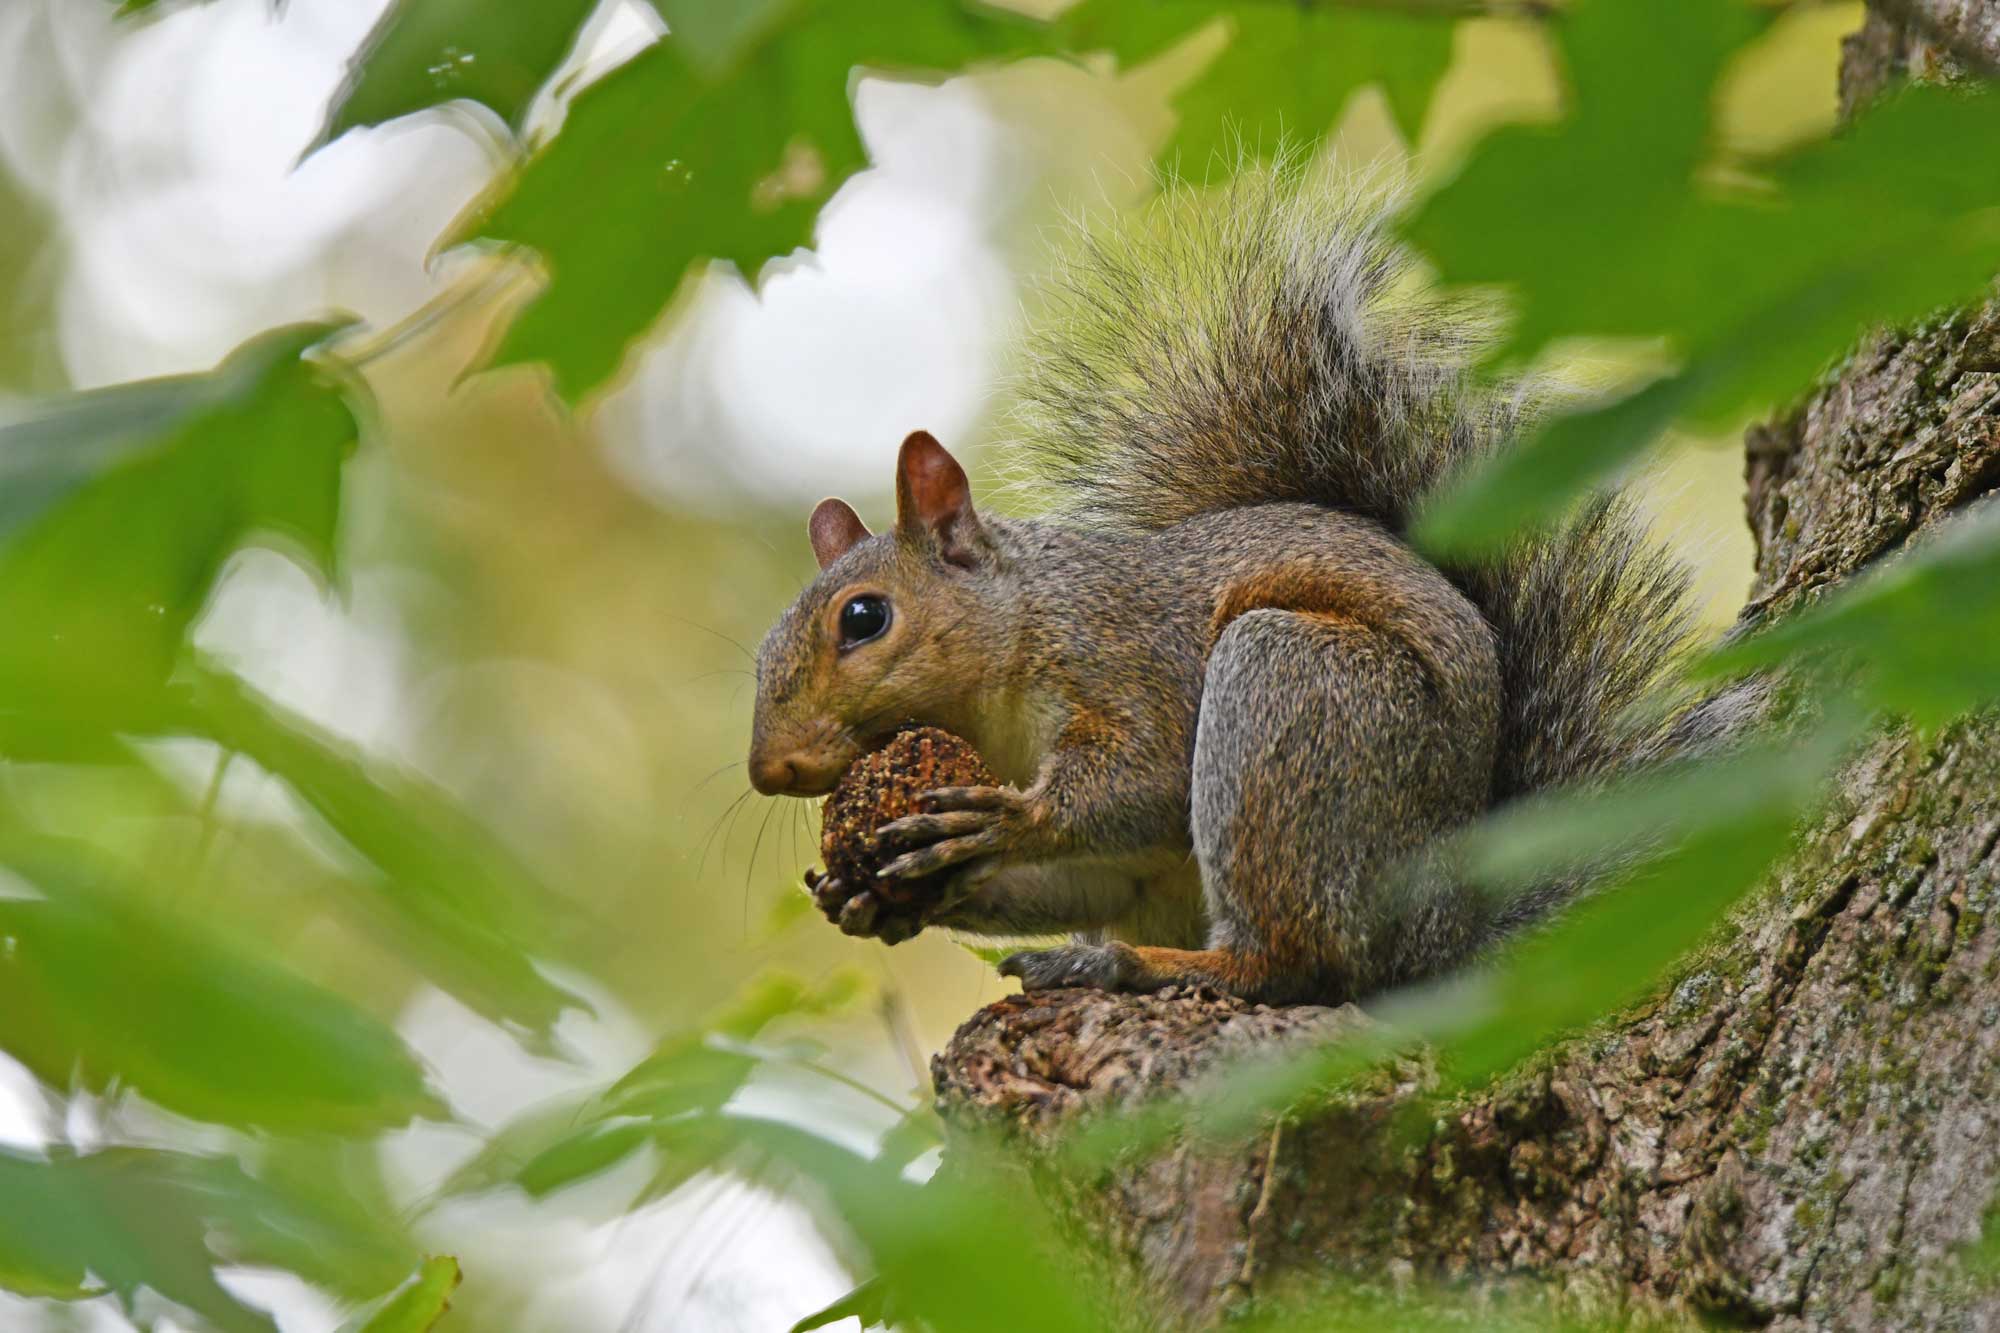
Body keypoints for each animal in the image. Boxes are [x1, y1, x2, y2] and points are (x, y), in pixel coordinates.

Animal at [745, 170, 1757, 1006]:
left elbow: (1146, 778)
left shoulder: (1128, 657)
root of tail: (1441, 937)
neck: (1019, 643)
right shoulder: (1118, 865)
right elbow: (1080, 873)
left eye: (865, 617)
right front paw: (875, 894)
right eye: (760, 653)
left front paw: (1007, 816)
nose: (770, 771)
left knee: (1291, 963)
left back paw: (1135, 964)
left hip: (1292, 697)